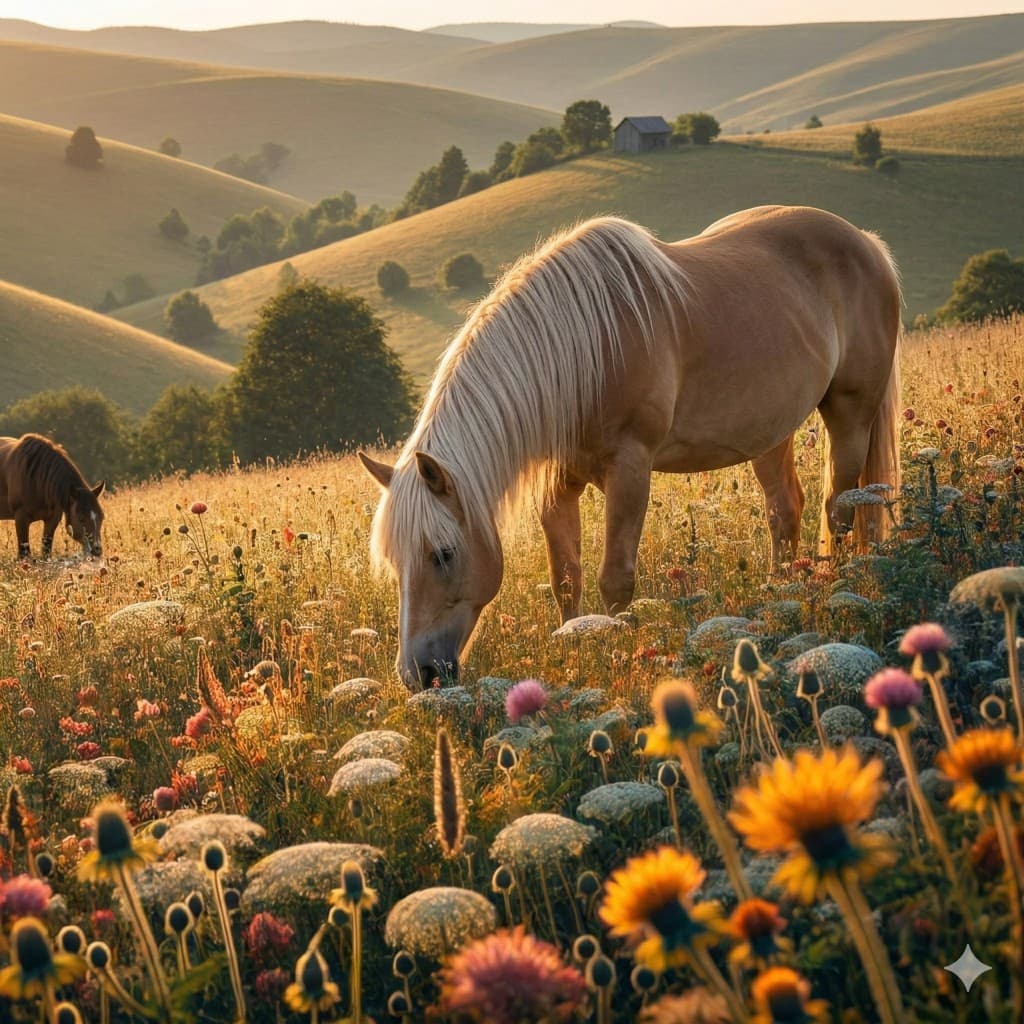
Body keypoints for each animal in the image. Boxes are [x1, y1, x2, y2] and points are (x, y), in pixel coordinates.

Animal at [359, 206, 902, 689]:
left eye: (443, 554)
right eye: (395, 563)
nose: (418, 675)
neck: (586, 348)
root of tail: (866, 241)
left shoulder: (630, 470)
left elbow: (614, 579)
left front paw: (620, 648)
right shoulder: (559, 485)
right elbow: (565, 577)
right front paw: (575, 643)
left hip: (851, 412)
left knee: (840, 506)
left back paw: (833, 585)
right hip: (771, 430)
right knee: (786, 511)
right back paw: (781, 592)